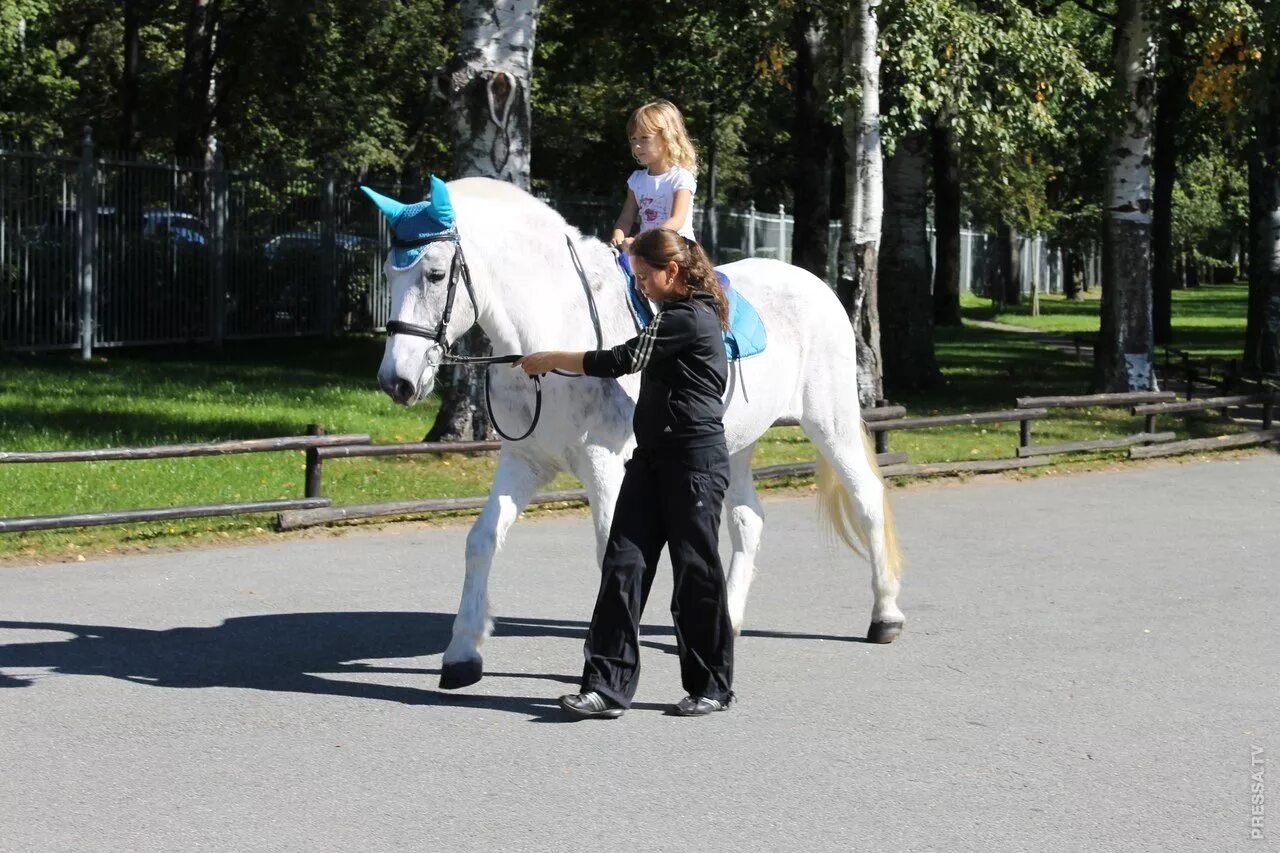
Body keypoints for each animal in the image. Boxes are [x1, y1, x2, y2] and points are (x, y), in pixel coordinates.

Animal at [363, 175, 901, 686]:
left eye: (435, 274)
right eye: (390, 272)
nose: (396, 381)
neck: (553, 328)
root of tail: (817, 285)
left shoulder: (604, 465)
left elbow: (611, 551)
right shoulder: (525, 461)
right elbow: (481, 541)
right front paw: (462, 653)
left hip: (830, 424)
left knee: (868, 499)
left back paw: (886, 616)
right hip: (734, 444)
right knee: (749, 519)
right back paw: (729, 621)